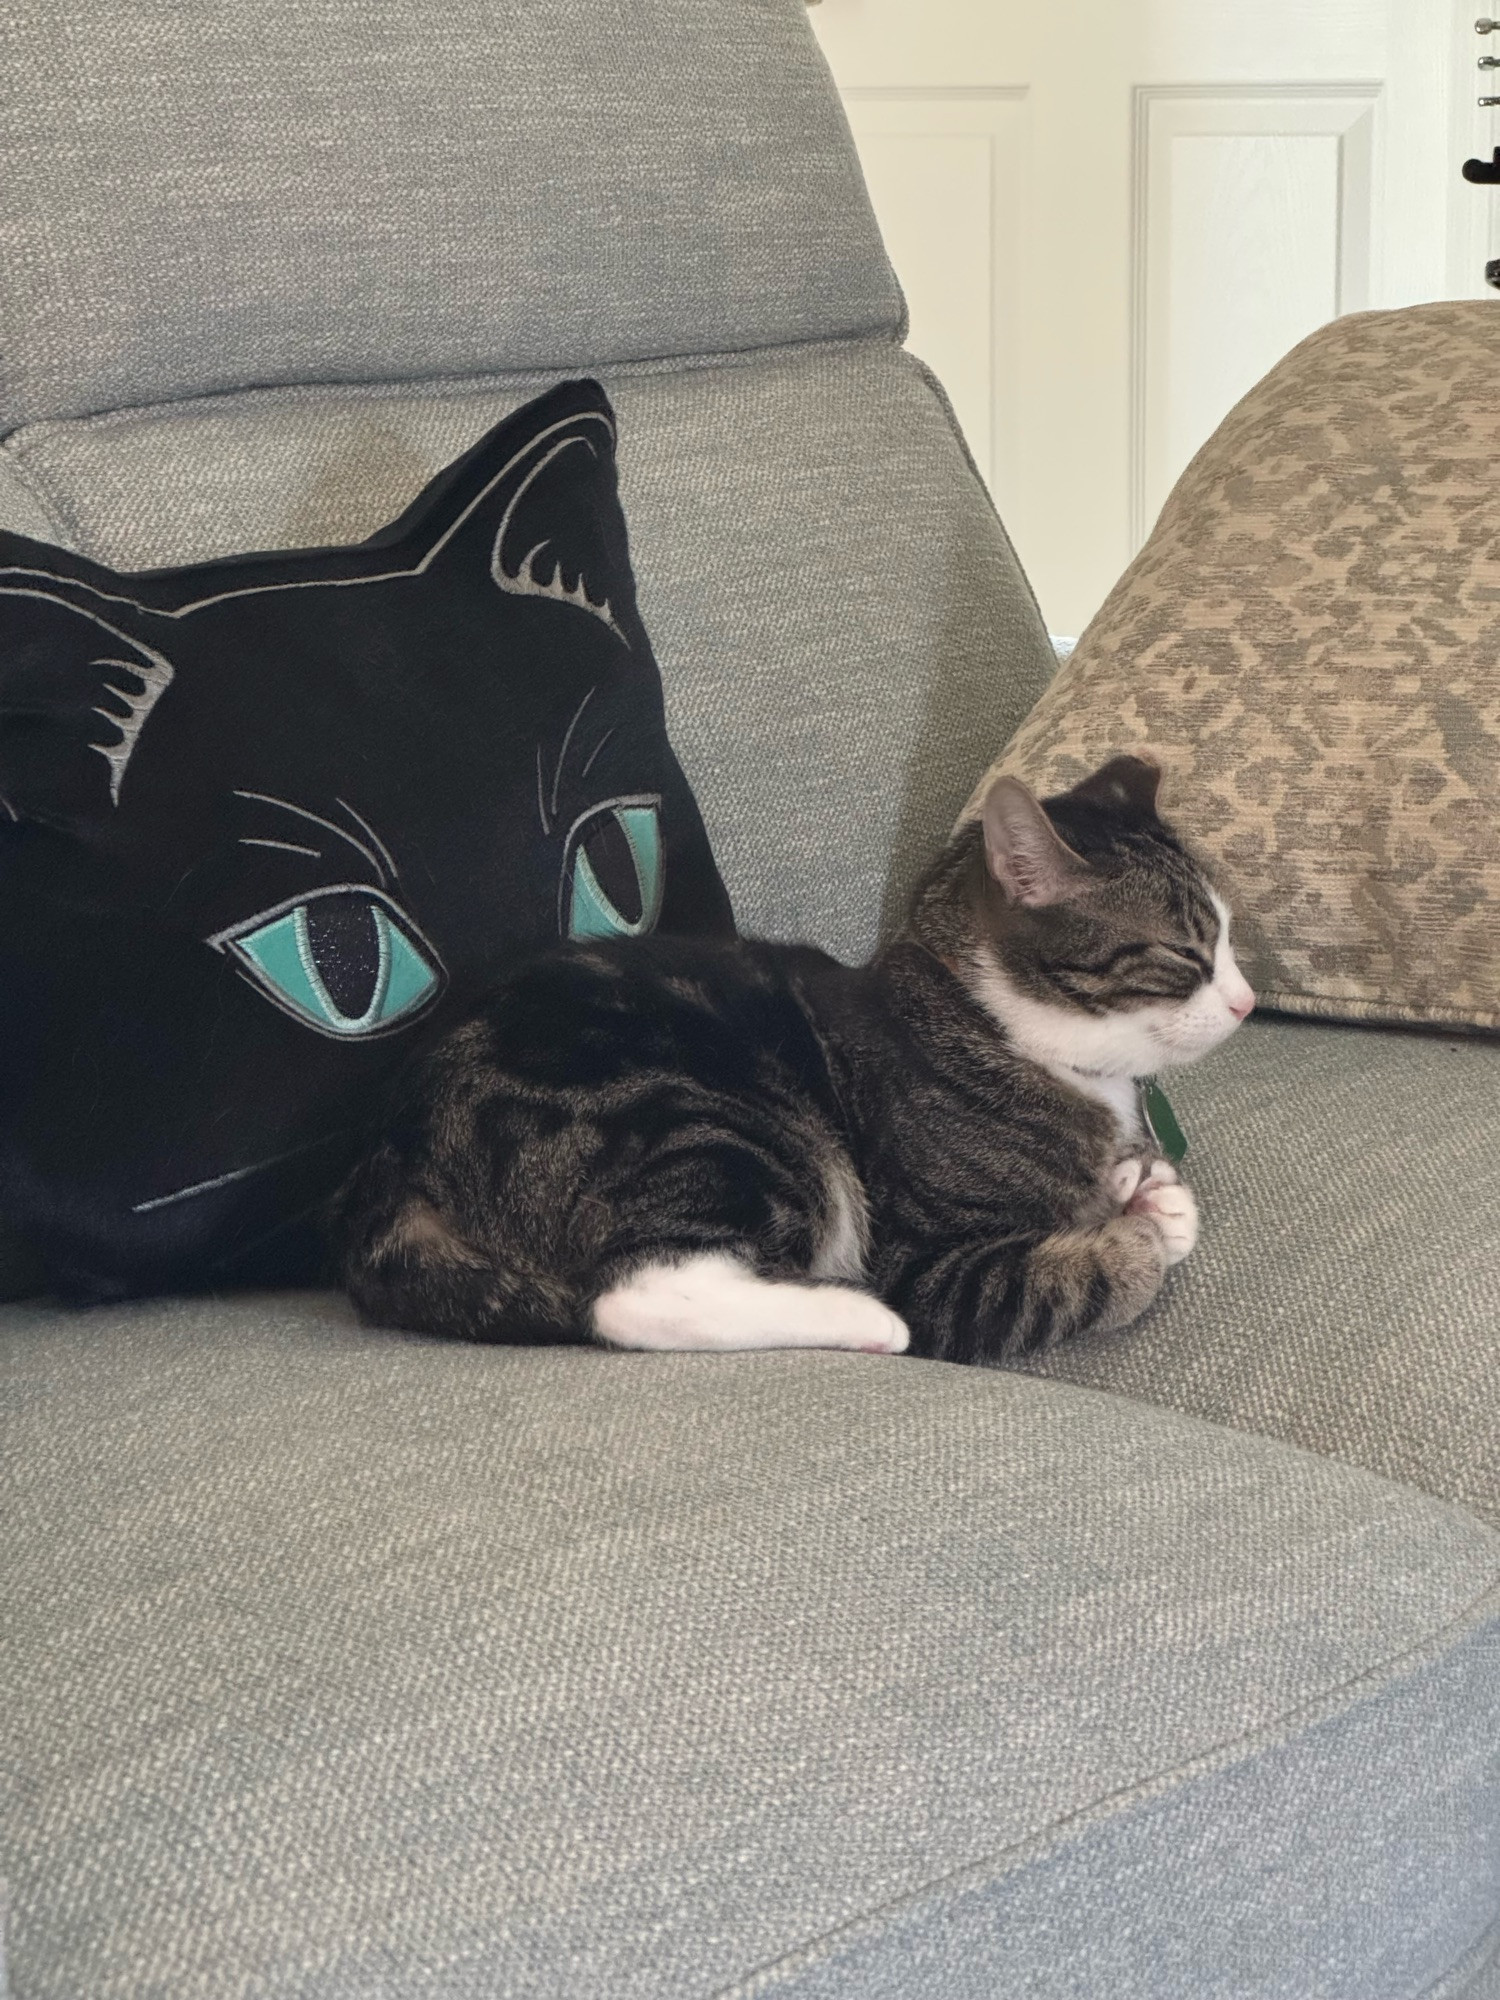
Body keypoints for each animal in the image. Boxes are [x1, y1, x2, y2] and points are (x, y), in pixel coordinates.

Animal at [338, 756, 1256, 1368]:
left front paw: (1151, 1191)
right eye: (1187, 953)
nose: (1246, 1002)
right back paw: (861, 1319)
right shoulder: (923, 1260)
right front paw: (1136, 1228)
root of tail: (390, 1166)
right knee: (639, 1292)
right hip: (707, 1124)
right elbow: (1076, 1279)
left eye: (1230, 937)